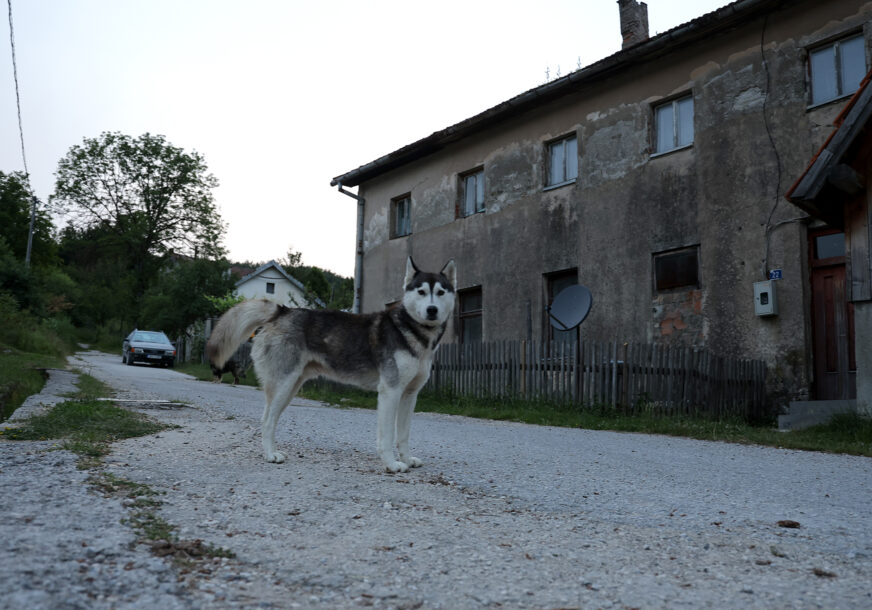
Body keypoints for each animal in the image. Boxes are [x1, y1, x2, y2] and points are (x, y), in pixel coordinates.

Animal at [205, 255, 456, 470]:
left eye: (440, 292)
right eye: (422, 292)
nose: (432, 310)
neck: (414, 333)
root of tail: (282, 310)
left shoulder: (409, 395)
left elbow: (403, 435)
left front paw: (406, 459)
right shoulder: (390, 392)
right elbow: (387, 436)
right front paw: (392, 464)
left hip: (290, 389)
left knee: (271, 419)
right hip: (283, 385)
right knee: (266, 420)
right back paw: (269, 455)